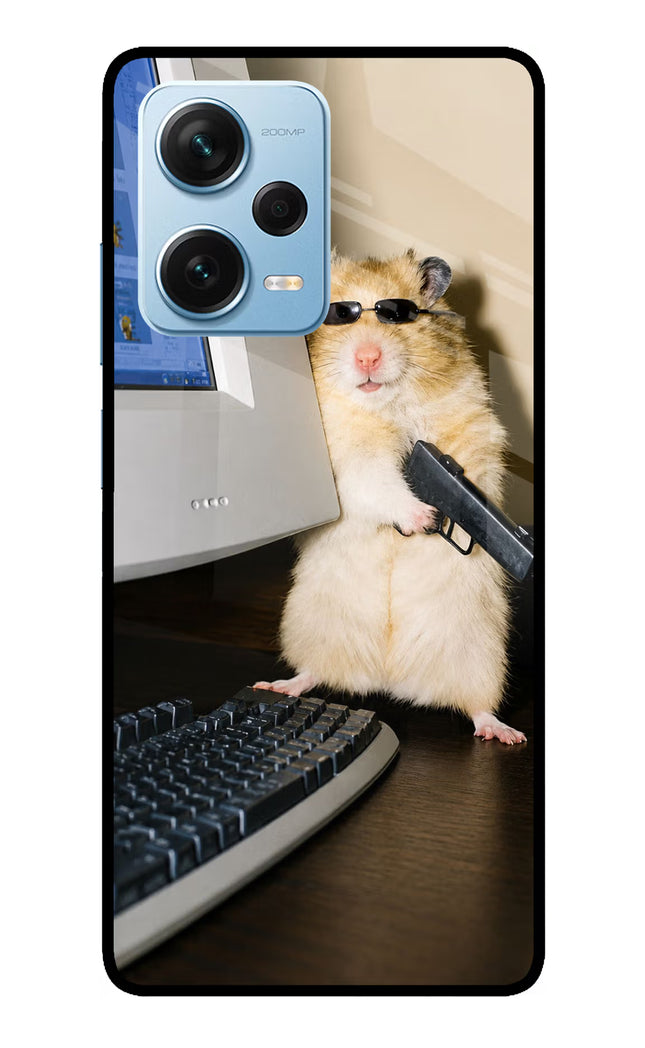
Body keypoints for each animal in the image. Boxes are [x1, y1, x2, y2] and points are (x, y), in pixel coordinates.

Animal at [255, 250, 526, 744]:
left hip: (480, 654)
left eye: (397, 315)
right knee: (313, 672)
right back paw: (279, 685)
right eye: (338, 315)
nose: (367, 356)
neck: (386, 404)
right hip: (311, 626)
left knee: (477, 706)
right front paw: (423, 518)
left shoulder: (472, 427)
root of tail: (388, 679)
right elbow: (378, 483)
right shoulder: (347, 459)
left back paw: (504, 733)